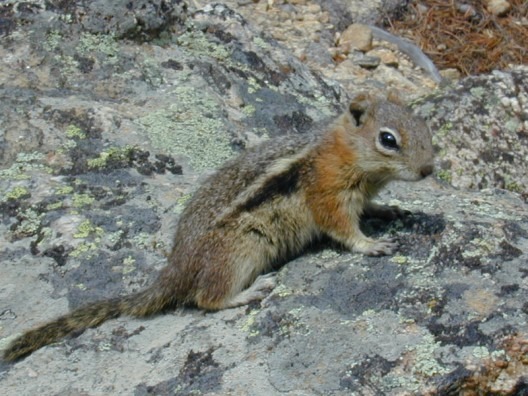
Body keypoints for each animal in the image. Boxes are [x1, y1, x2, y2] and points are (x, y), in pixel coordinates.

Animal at [3, 90, 434, 362]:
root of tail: (174, 269)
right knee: (206, 299)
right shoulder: (327, 193)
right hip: (236, 254)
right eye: (388, 140)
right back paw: (249, 293)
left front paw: (390, 210)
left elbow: (371, 208)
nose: (429, 170)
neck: (346, 152)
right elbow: (341, 228)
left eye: (424, 128)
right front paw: (371, 244)